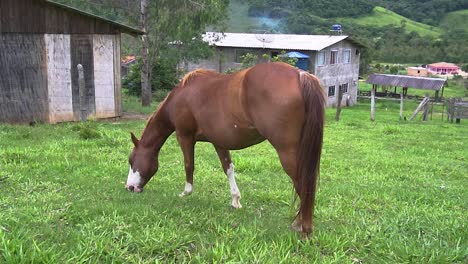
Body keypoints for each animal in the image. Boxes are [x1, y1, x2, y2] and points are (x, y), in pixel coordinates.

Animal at [127, 62, 326, 235]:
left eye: (131, 160)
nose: (129, 187)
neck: (182, 95)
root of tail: (300, 75)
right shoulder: (219, 141)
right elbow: (228, 168)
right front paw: (235, 200)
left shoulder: (184, 136)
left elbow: (189, 165)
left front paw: (186, 192)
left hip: (287, 152)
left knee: (302, 183)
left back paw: (304, 227)